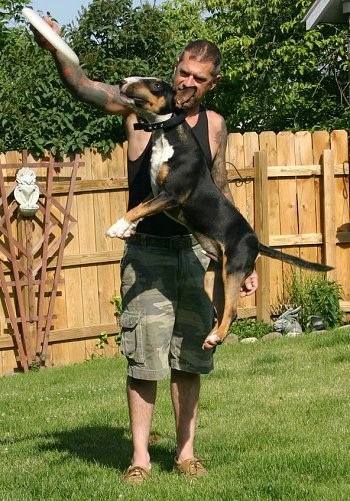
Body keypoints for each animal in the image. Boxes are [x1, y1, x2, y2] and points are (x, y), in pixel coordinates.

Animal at [108, 78, 332, 350]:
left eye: (157, 85)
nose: (123, 82)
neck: (167, 136)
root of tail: (256, 242)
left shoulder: (172, 195)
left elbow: (139, 208)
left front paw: (117, 227)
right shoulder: (156, 191)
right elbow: (140, 206)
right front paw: (127, 227)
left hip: (233, 271)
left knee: (232, 311)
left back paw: (216, 336)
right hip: (213, 278)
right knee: (222, 308)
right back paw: (210, 338)